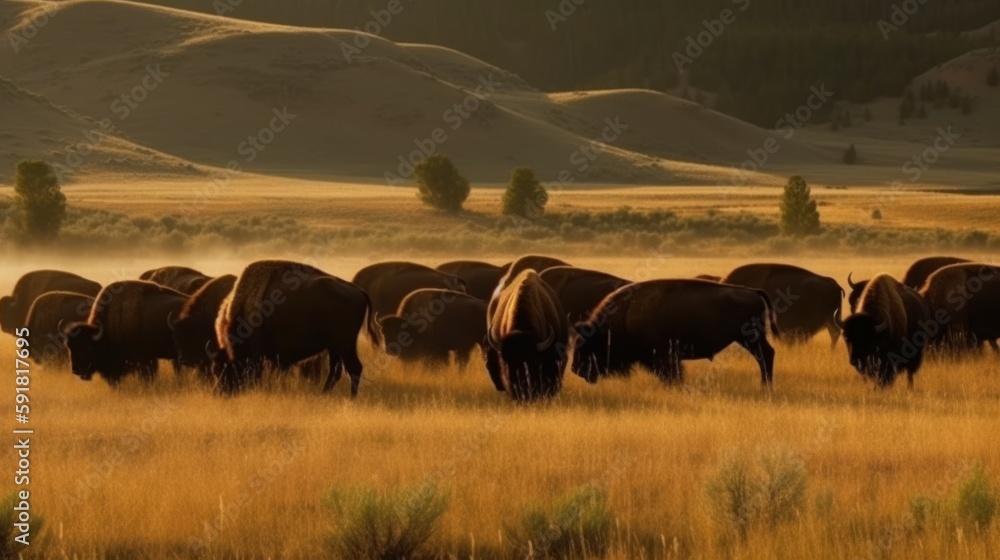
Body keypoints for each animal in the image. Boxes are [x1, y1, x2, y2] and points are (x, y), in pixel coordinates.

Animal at [215, 260, 380, 396]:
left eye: (225, 366)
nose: (224, 390)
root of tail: (359, 291)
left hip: (345, 344)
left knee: (354, 368)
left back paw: (351, 398)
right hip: (335, 346)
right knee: (336, 371)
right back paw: (324, 394)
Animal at [571, 279, 780, 386]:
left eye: (588, 344)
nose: (575, 369)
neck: (625, 315)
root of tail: (753, 291)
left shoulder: (663, 356)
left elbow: (671, 374)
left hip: (750, 338)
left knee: (765, 355)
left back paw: (765, 386)